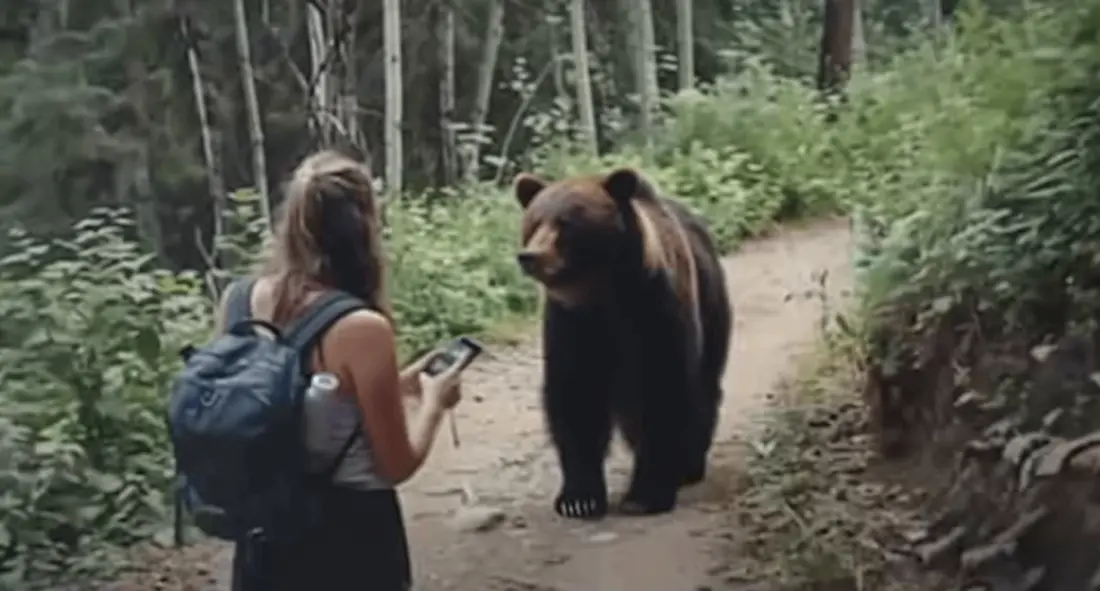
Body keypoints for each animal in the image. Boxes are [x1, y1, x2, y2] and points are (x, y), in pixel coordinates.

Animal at [512, 166, 733, 519]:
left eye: (565, 223)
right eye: (534, 222)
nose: (530, 256)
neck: (604, 292)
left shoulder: (654, 308)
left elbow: (663, 390)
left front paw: (645, 494)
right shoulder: (571, 322)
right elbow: (576, 396)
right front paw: (579, 499)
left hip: (711, 304)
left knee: (704, 386)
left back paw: (689, 464)